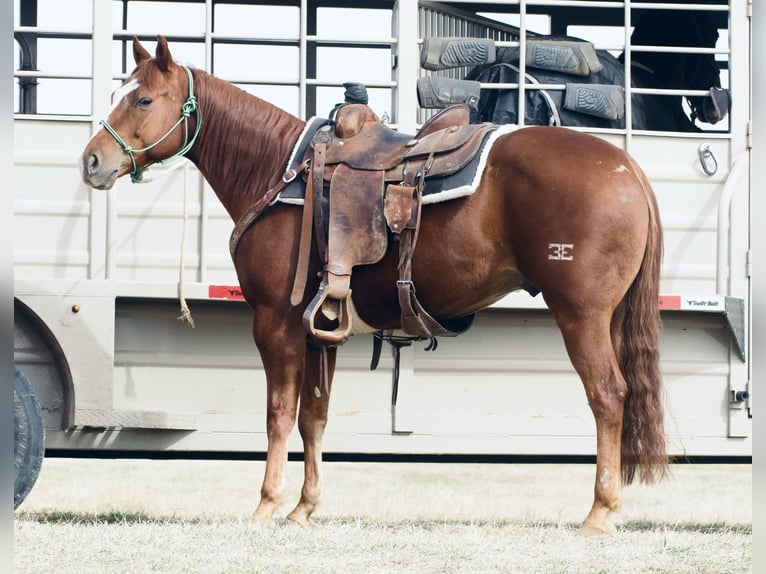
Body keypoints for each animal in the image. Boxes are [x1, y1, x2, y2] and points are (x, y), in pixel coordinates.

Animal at [79, 38, 664, 536]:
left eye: (144, 99)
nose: (91, 161)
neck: (283, 171)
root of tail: (626, 166)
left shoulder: (275, 321)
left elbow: (278, 413)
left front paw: (267, 504)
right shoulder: (320, 328)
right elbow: (314, 415)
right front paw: (304, 508)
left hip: (581, 316)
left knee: (608, 395)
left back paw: (599, 512)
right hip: (609, 318)